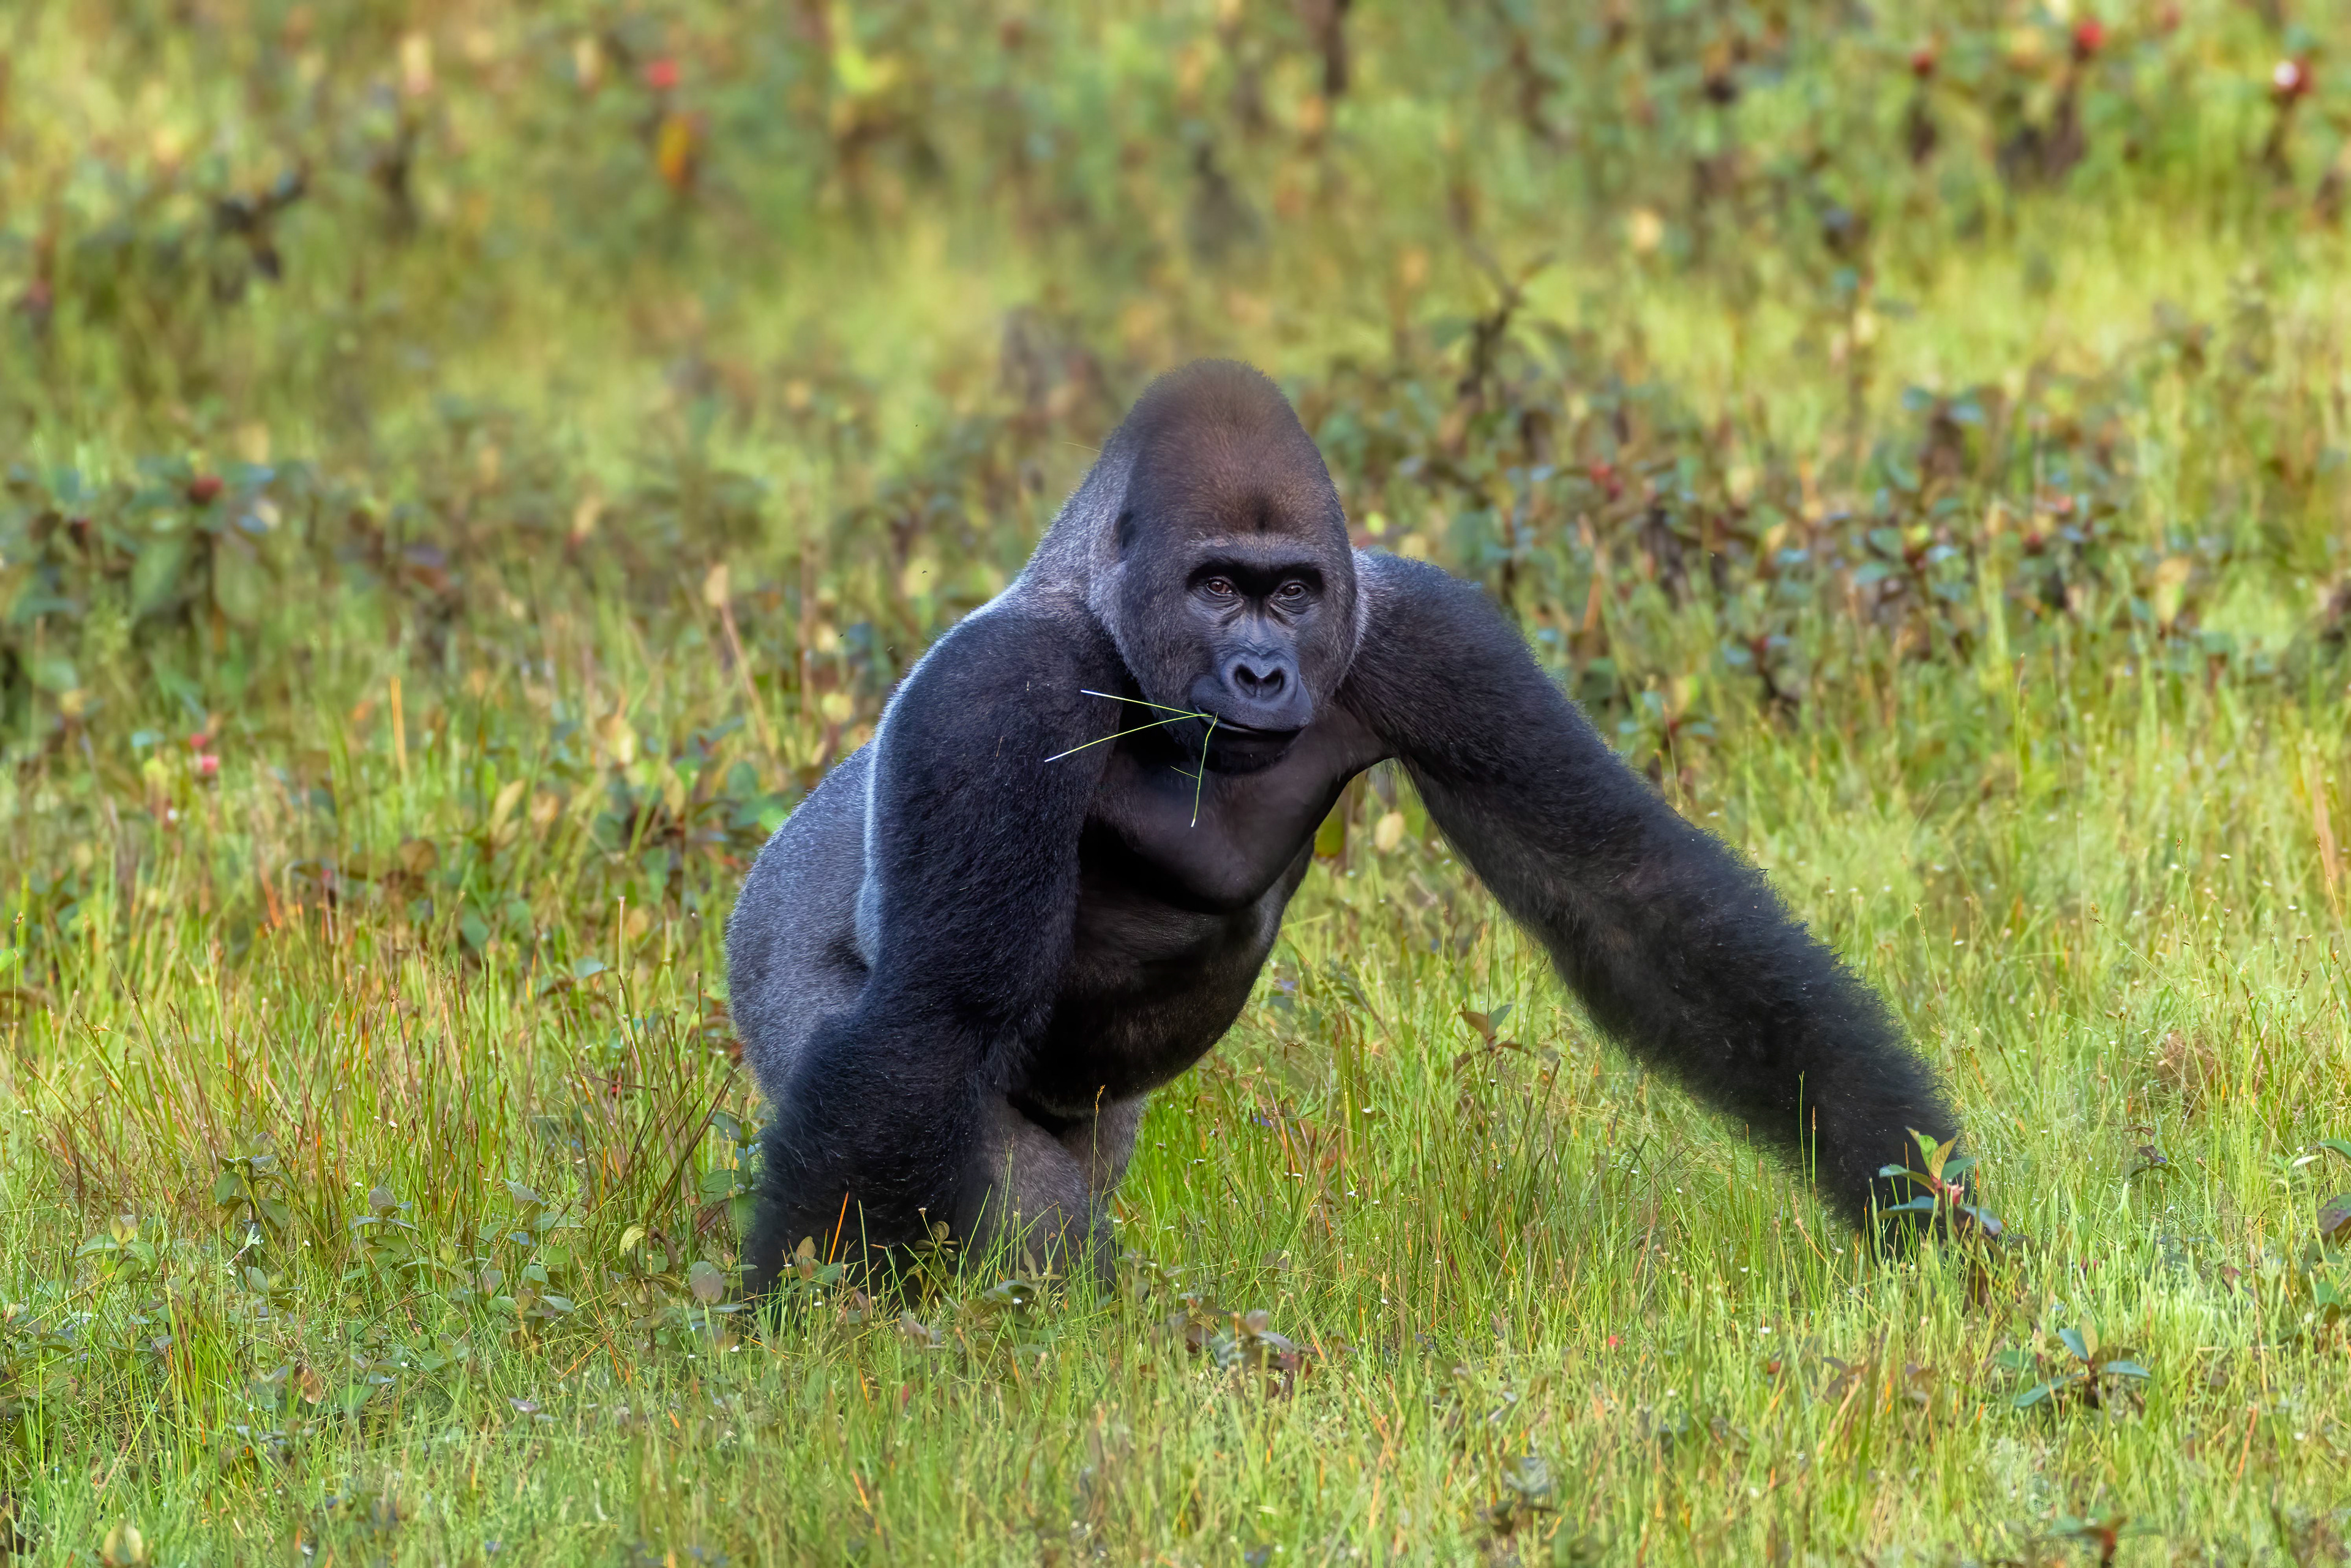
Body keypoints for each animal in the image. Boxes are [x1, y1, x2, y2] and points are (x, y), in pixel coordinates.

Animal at [725, 359, 1958, 1290]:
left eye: (1291, 592)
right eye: (1216, 588)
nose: (1262, 672)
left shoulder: (1431, 632)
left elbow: (1629, 893)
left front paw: (1916, 1194)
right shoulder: (993, 694)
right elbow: (939, 1017)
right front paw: (829, 1330)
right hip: (773, 978)